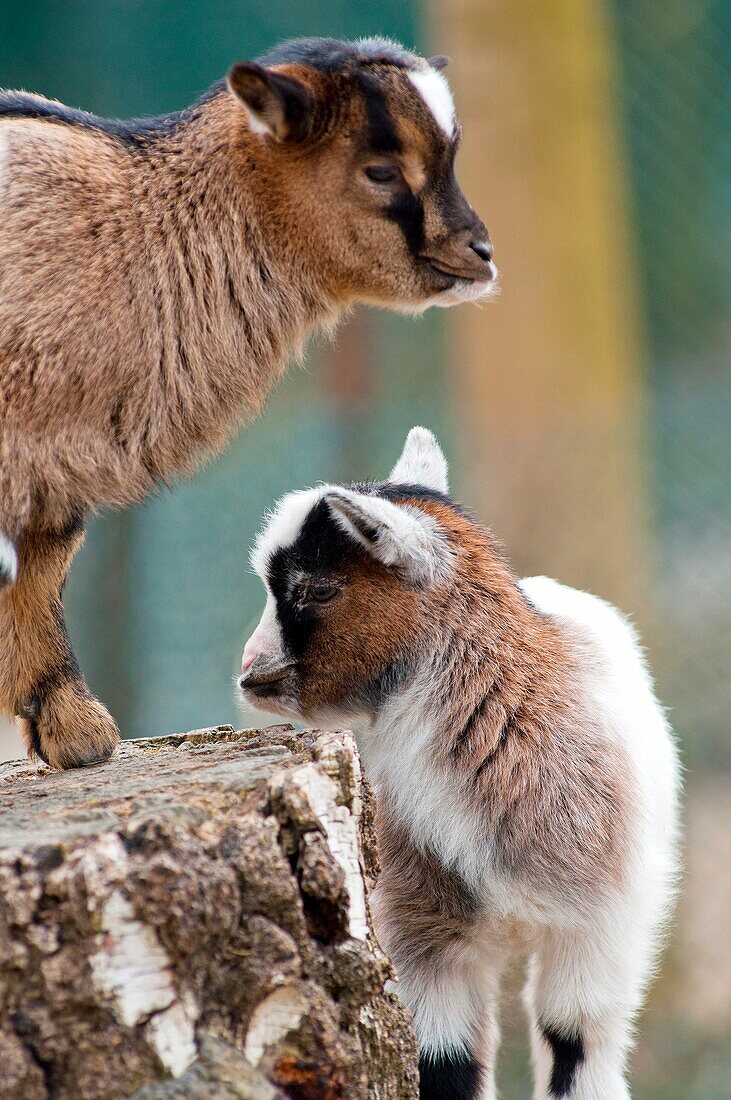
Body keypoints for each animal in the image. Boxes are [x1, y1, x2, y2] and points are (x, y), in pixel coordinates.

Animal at [239, 429, 677, 1100]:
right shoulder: (421, 930)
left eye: (317, 588)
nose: (249, 669)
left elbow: (574, 1042)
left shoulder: (601, 921)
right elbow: (446, 1063)